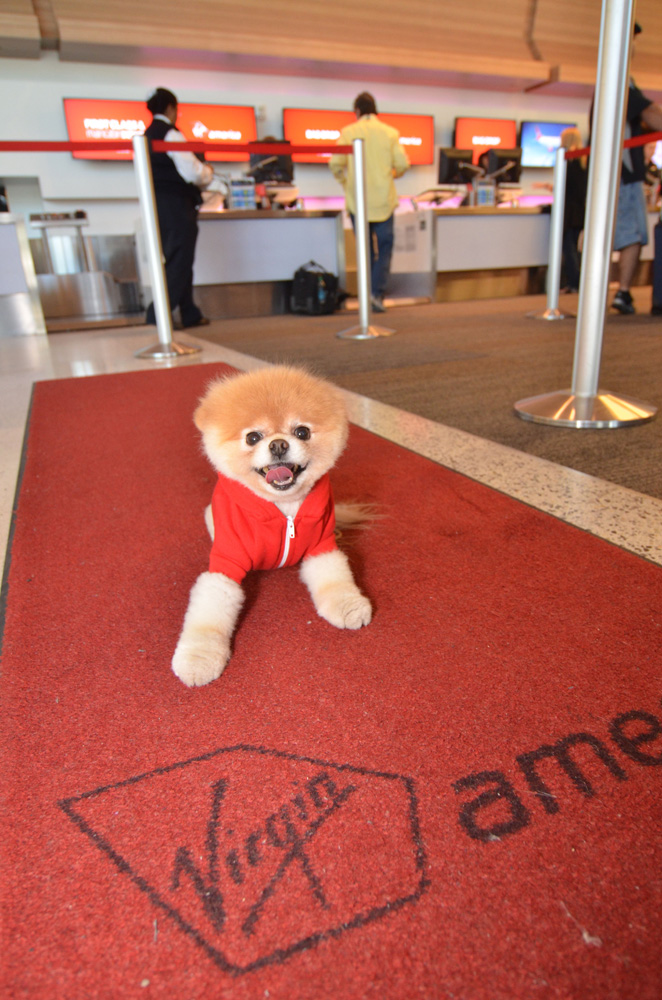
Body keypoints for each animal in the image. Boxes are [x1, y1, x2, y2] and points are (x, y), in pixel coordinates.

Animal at [172, 368, 374, 688]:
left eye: (302, 432)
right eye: (253, 437)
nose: (278, 444)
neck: (285, 509)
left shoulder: (321, 546)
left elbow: (336, 580)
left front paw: (348, 607)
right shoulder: (225, 562)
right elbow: (210, 608)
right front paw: (198, 660)